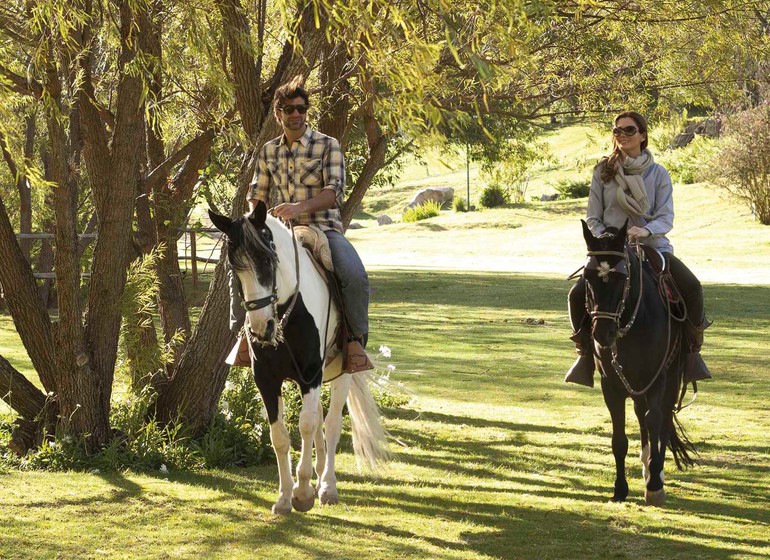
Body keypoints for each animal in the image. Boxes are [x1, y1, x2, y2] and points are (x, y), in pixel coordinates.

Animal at [208, 203, 388, 516]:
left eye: (267, 260)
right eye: (233, 267)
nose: (261, 328)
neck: (288, 312)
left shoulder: (311, 374)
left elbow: (306, 425)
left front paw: (302, 493)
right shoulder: (267, 380)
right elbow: (279, 435)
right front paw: (284, 497)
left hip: (343, 373)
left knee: (330, 423)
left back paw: (327, 487)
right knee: (318, 420)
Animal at [576, 221, 696, 506]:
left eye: (621, 277)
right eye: (587, 276)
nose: (603, 333)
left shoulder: (657, 378)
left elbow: (656, 421)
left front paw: (654, 486)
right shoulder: (611, 385)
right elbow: (619, 439)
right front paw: (620, 489)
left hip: (670, 378)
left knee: (662, 419)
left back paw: (655, 471)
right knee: (642, 416)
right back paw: (646, 463)